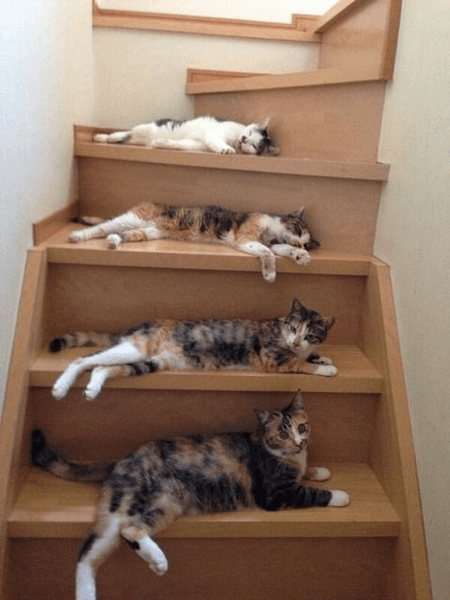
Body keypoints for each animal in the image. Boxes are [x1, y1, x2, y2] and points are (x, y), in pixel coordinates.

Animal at [31, 390, 350, 600]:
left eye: (302, 427)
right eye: (283, 434)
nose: (299, 442)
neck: (280, 454)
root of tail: (122, 460)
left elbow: (306, 472)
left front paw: (319, 470)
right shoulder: (276, 493)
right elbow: (309, 493)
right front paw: (339, 495)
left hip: (167, 506)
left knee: (132, 532)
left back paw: (157, 561)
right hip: (124, 504)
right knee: (90, 552)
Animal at [50, 298, 336, 401]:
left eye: (310, 335)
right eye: (293, 328)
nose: (296, 342)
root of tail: (137, 326)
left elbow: (310, 355)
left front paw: (322, 357)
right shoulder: (273, 357)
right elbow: (299, 363)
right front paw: (325, 369)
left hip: (152, 362)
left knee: (101, 368)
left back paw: (92, 389)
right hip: (135, 349)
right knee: (82, 360)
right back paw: (61, 388)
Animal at [68, 203, 320, 282]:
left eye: (305, 243)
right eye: (298, 229)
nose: (300, 244)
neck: (272, 232)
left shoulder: (272, 242)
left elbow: (279, 248)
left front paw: (299, 256)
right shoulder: (245, 239)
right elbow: (267, 252)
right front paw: (269, 273)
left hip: (149, 232)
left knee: (121, 234)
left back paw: (113, 242)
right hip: (134, 218)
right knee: (102, 227)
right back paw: (77, 237)